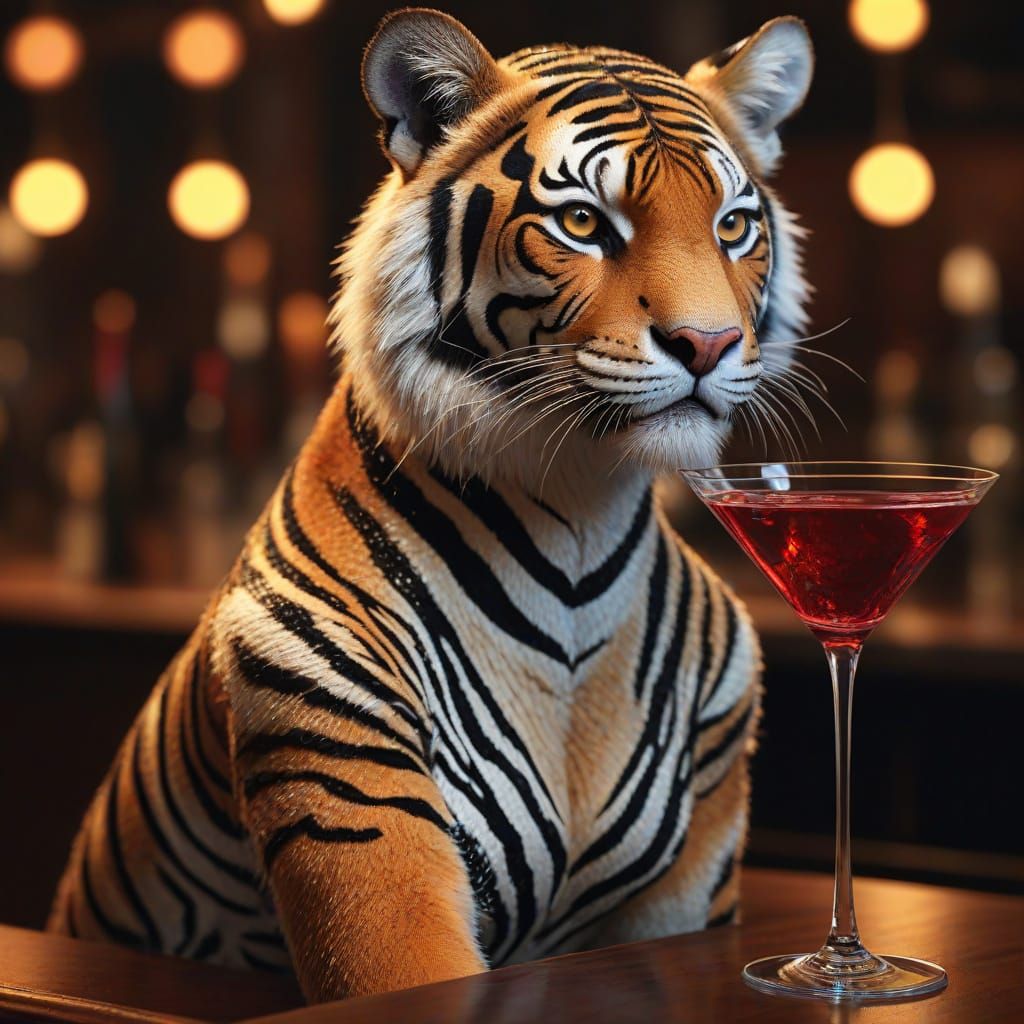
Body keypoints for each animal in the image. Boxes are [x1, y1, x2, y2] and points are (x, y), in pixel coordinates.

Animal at [49, 7, 813, 1004]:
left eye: (733, 226)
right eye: (582, 222)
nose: (710, 343)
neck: (582, 521)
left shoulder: (694, 865)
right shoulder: (353, 803)